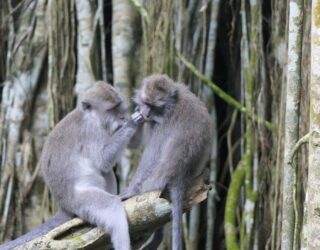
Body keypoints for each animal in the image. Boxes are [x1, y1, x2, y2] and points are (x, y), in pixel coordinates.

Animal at [0, 82, 144, 250]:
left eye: (119, 105)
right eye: (111, 109)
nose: (122, 117)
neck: (93, 118)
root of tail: (63, 205)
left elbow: (131, 147)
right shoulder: (91, 132)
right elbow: (103, 160)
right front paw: (132, 122)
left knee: (106, 173)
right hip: (79, 201)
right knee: (110, 203)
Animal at [120, 73, 212, 250]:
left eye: (154, 106)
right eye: (146, 103)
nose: (146, 113)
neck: (173, 104)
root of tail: (179, 178)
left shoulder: (160, 126)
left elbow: (151, 156)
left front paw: (130, 191)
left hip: (154, 182)